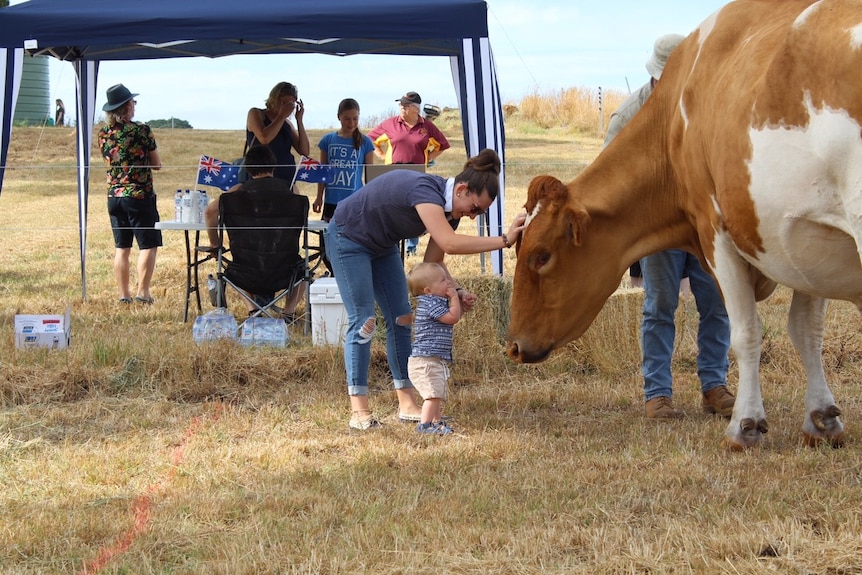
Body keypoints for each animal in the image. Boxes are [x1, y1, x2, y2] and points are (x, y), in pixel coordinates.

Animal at [510, 0, 860, 450]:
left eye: (541, 256)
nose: (513, 345)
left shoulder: (715, 230)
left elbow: (745, 332)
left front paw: (745, 425)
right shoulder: (802, 240)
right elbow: (806, 330)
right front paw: (822, 419)